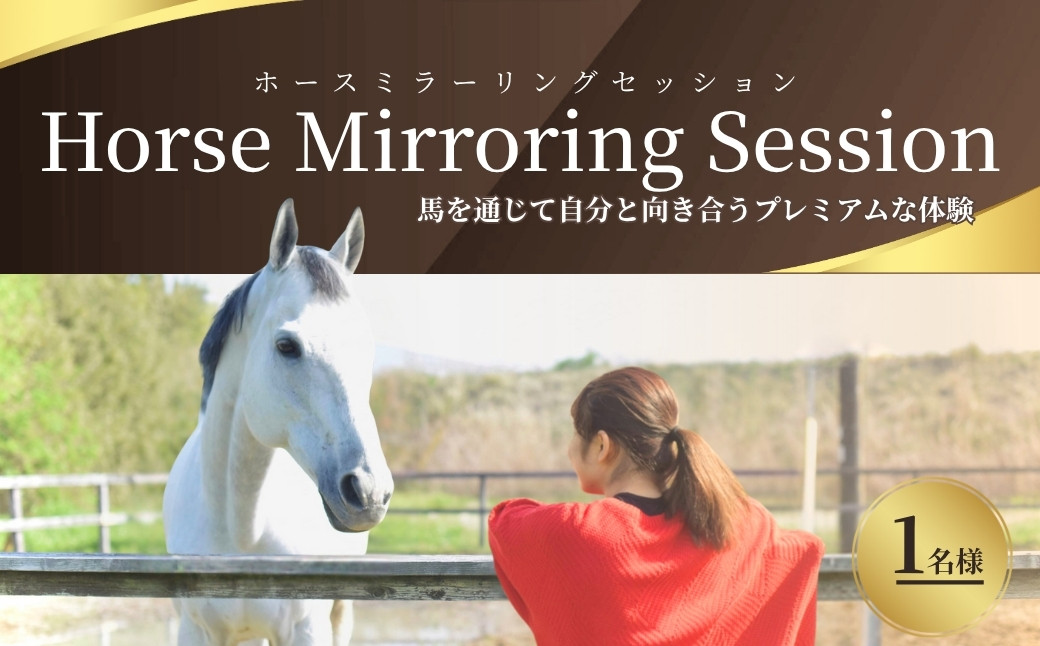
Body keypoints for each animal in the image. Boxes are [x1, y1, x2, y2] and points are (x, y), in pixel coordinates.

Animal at [163, 198, 394, 646]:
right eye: (287, 346)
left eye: (367, 346)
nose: (369, 491)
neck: (241, 531)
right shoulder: (194, 629)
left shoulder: (307, 628)